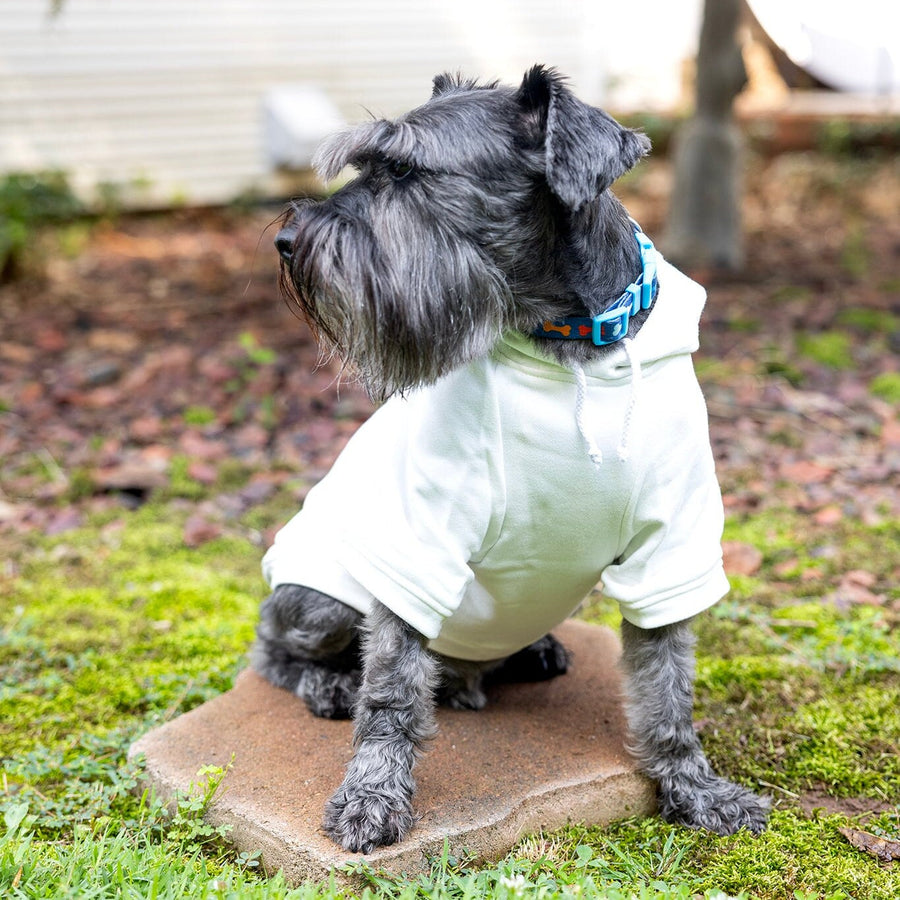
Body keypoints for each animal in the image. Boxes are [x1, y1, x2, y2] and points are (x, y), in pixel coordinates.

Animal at [251, 63, 768, 852]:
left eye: (405, 170)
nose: (286, 239)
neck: (574, 344)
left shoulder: (671, 542)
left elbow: (669, 685)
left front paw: (696, 789)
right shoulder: (419, 541)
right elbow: (391, 689)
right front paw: (371, 798)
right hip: (323, 598)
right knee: (273, 648)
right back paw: (327, 683)